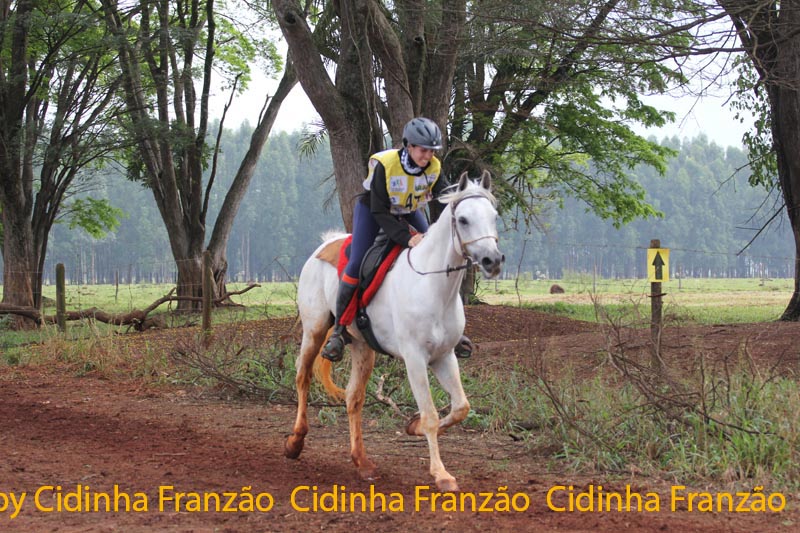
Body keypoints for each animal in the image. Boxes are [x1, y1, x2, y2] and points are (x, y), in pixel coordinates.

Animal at [284, 171, 504, 492]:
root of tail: (324, 245)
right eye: (463, 219)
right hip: (314, 330)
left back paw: (362, 462)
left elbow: (460, 407)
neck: (433, 287)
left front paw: (412, 427)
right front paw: (441, 474)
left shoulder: (444, 356)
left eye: (494, 216)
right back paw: (295, 442)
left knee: (354, 399)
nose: (492, 261)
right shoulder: (415, 358)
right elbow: (430, 415)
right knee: (303, 377)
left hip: (363, 347)